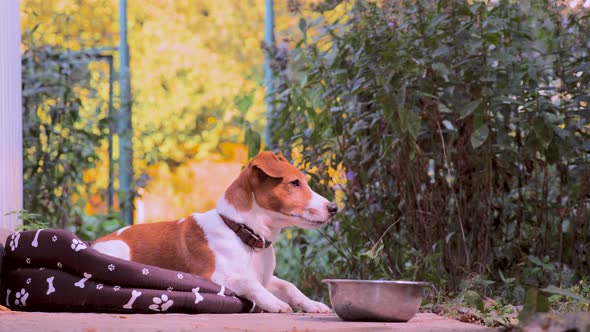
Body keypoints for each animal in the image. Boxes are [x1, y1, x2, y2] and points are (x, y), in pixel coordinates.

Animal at [92, 152, 338, 312]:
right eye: (295, 183)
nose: (334, 208)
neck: (244, 234)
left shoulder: (266, 279)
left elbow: (289, 286)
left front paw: (313, 304)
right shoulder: (215, 276)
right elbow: (249, 283)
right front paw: (274, 303)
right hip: (119, 250)